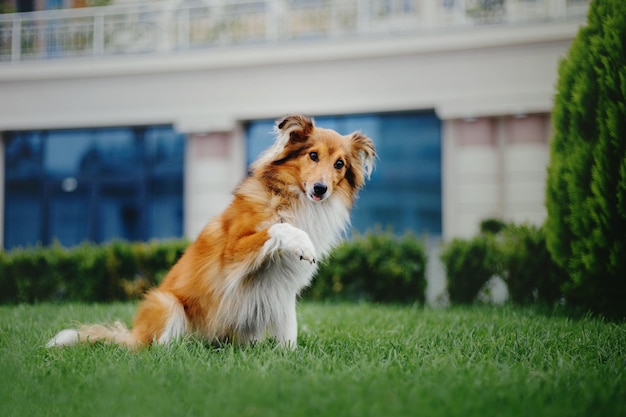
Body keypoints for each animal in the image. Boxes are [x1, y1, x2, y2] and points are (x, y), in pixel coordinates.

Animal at [47, 113, 376, 348]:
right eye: (313, 155)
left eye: (339, 164)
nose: (320, 189)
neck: (292, 198)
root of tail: (131, 335)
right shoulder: (231, 255)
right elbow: (277, 227)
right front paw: (303, 243)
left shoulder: (282, 291)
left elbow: (289, 330)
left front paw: (289, 356)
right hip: (166, 303)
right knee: (155, 348)